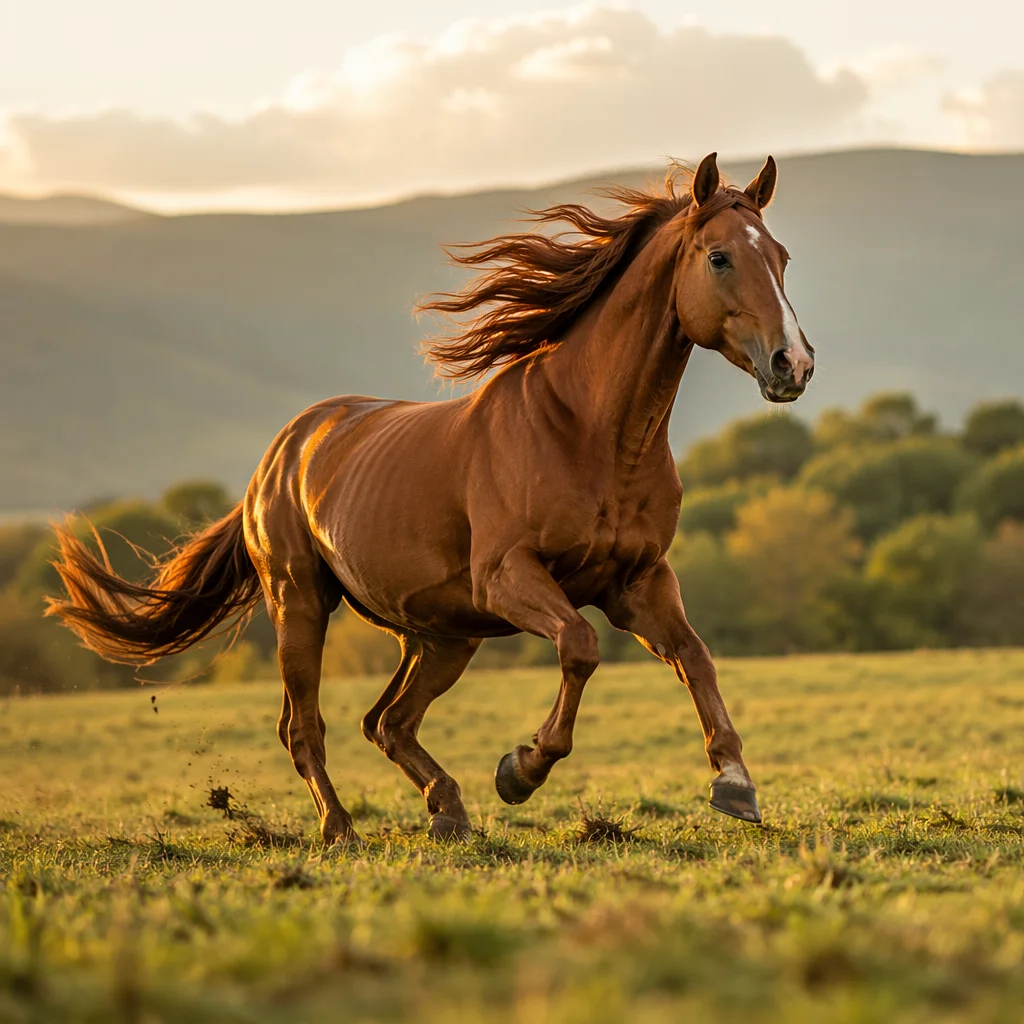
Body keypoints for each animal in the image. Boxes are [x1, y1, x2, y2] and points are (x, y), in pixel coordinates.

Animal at [47, 152, 814, 844]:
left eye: (781, 257)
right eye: (719, 258)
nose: (793, 364)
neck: (589, 433)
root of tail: (279, 457)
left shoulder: (638, 580)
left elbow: (694, 656)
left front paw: (735, 784)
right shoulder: (510, 575)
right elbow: (580, 645)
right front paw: (521, 770)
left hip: (443, 636)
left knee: (386, 722)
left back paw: (448, 810)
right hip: (301, 602)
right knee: (306, 726)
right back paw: (342, 830)